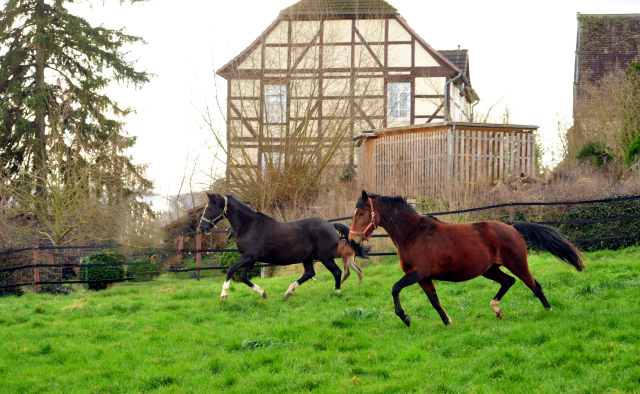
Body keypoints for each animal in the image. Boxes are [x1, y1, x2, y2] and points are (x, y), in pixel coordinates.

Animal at [199, 193, 360, 298]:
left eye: (210, 208)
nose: (201, 228)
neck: (249, 226)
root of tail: (331, 226)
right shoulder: (251, 258)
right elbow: (244, 277)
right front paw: (263, 293)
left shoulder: (248, 256)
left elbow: (231, 269)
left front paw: (223, 294)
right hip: (307, 258)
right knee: (309, 273)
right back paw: (289, 291)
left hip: (325, 257)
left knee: (337, 272)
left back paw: (336, 291)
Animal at [348, 191, 584, 326]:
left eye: (361, 213)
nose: (352, 240)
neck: (413, 233)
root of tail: (511, 227)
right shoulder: (423, 277)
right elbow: (434, 300)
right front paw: (447, 321)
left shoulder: (417, 273)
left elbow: (395, 288)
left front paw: (405, 317)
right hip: (490, 269)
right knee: (509, 282)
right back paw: (497, 310)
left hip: (517, 264)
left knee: (535, 285)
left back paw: (549, 310)